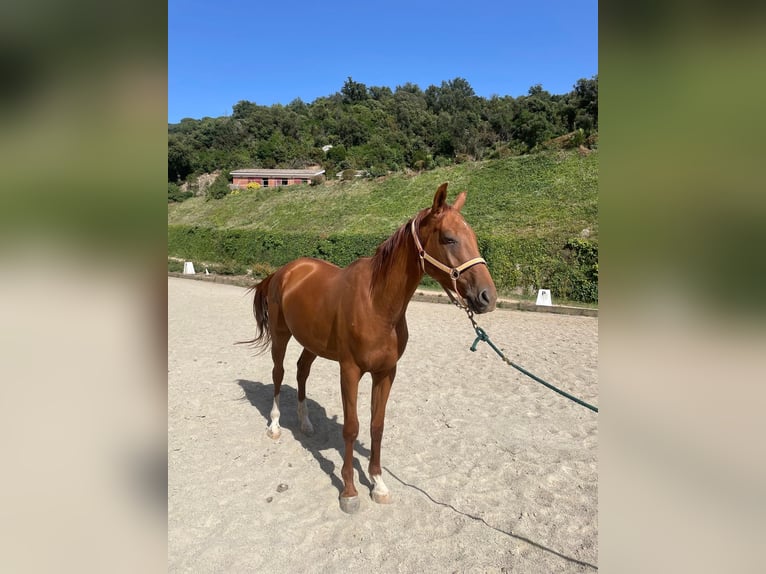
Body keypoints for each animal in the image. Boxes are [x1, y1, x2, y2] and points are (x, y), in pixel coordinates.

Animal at [245, 183, 497, 513]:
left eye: (474, 237)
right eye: (449, 238)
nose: (487, 297)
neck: (377, 304)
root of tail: (284, 271)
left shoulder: (386, 372)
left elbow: (377, 425)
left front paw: (377, 484)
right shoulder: (350, 371)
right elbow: (351, 427)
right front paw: (349, 491)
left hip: (311, 342)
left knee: (301, 372)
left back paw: (305, 423)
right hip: (281, 335)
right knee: (278, 374)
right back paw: (274, 426)